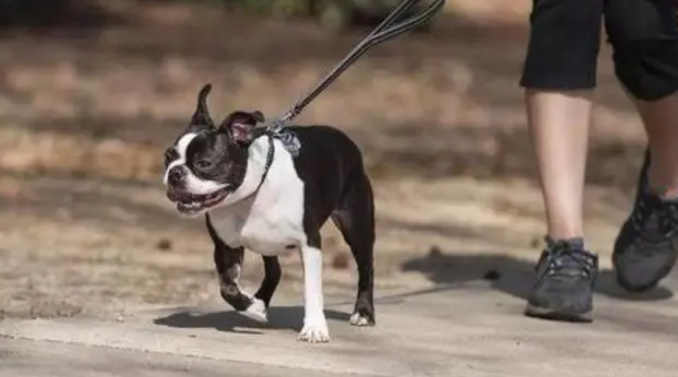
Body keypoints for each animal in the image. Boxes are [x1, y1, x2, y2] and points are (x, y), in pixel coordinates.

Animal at [163, 83, 380, 342]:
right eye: (167, 157)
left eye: (204, 164)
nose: (174, 173)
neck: (250, 195)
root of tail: (344, 138)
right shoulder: (226, 247)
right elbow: (227, 288)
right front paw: (252, 307)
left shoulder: (309, 243)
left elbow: (312, 289)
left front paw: (315, 327)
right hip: (267, 242)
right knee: (274, 270)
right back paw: (259, 302)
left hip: (356, 226)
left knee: (366, 267)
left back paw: (364, 313)